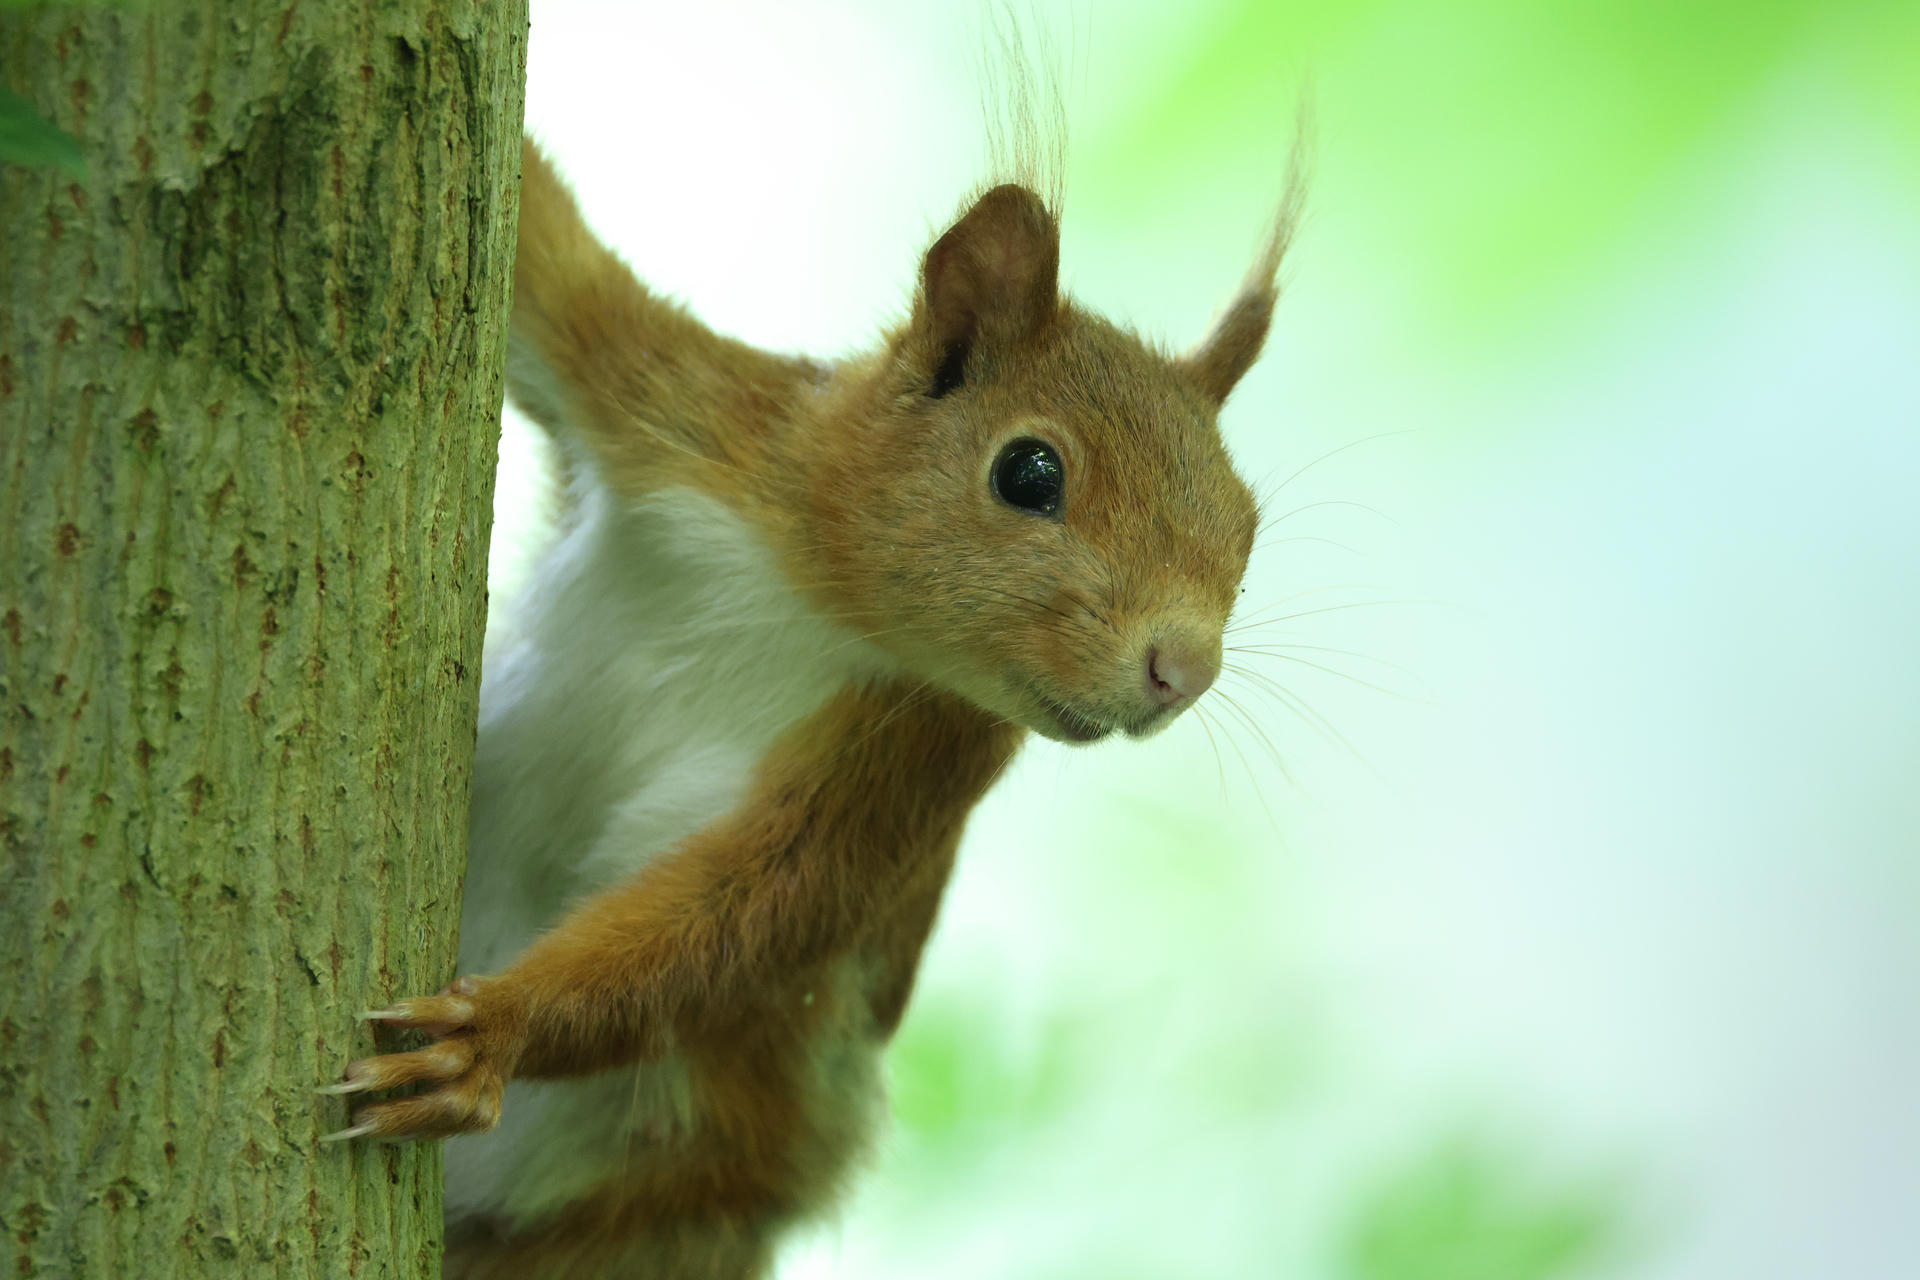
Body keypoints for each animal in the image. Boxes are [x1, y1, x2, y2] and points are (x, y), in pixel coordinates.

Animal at [319, 75, 1307, 1280]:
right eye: (1030, 471)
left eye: (1246, 526)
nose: (1185, 668)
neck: (808, 593)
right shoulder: (673, 401)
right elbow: (551, 266)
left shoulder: (914, 754)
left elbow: (752, 912)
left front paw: (490, 1037)